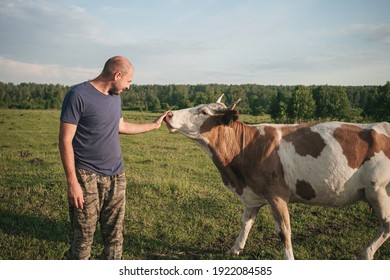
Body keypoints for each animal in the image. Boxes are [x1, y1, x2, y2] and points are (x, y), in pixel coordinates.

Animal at [165, 95, 390, 260]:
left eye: (203, 112)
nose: (168, 114)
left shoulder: (277, 194)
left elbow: (283, 230)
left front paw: (289, 258)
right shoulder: (252, 195)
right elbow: (245, 222)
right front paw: (235, 248)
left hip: (377, 190)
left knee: (386, 224)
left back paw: (366, 253)